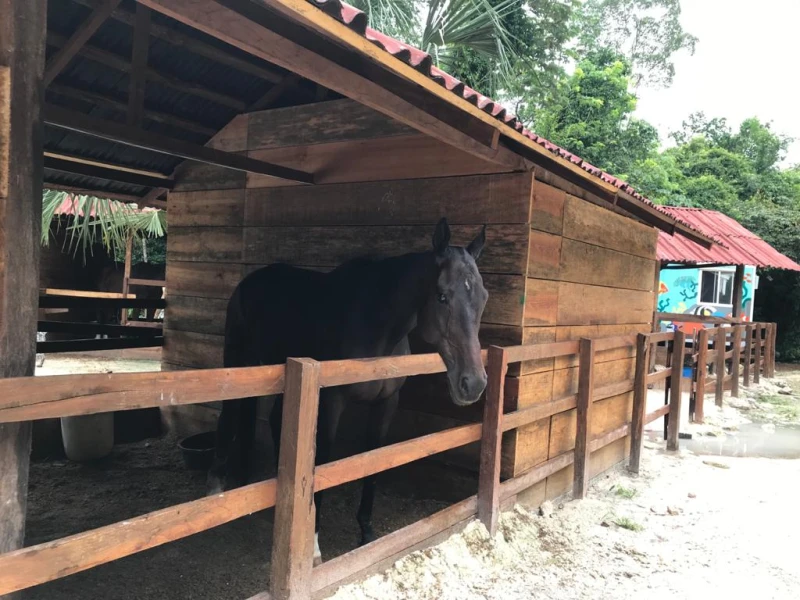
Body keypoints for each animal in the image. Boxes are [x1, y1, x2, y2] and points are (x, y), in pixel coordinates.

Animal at [208, 218, 488, 564]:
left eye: (483, 297)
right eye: (442, 296)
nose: (473, 383)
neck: (376, 327)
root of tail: (250, 280)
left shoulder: (386, 403)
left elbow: (373, 460)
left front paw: (366, 532)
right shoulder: (331, 402)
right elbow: (323, 462)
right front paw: (313, 544)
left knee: (272, 419)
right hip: (238, 359)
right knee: (229, 412)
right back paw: (216, 489)